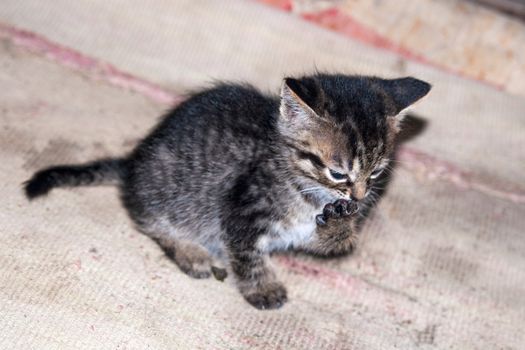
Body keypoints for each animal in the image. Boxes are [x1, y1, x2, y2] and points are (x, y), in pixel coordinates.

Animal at [24, 73, 430, 308]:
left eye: (376, 172)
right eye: (337, 172)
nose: (358, 198)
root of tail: (133, 162)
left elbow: (330, 241)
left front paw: (339, 224)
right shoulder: (241, 209)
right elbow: (247, 254)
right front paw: (262, 289)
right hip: (171, 192)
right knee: (147, 217)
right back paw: (191, 252)